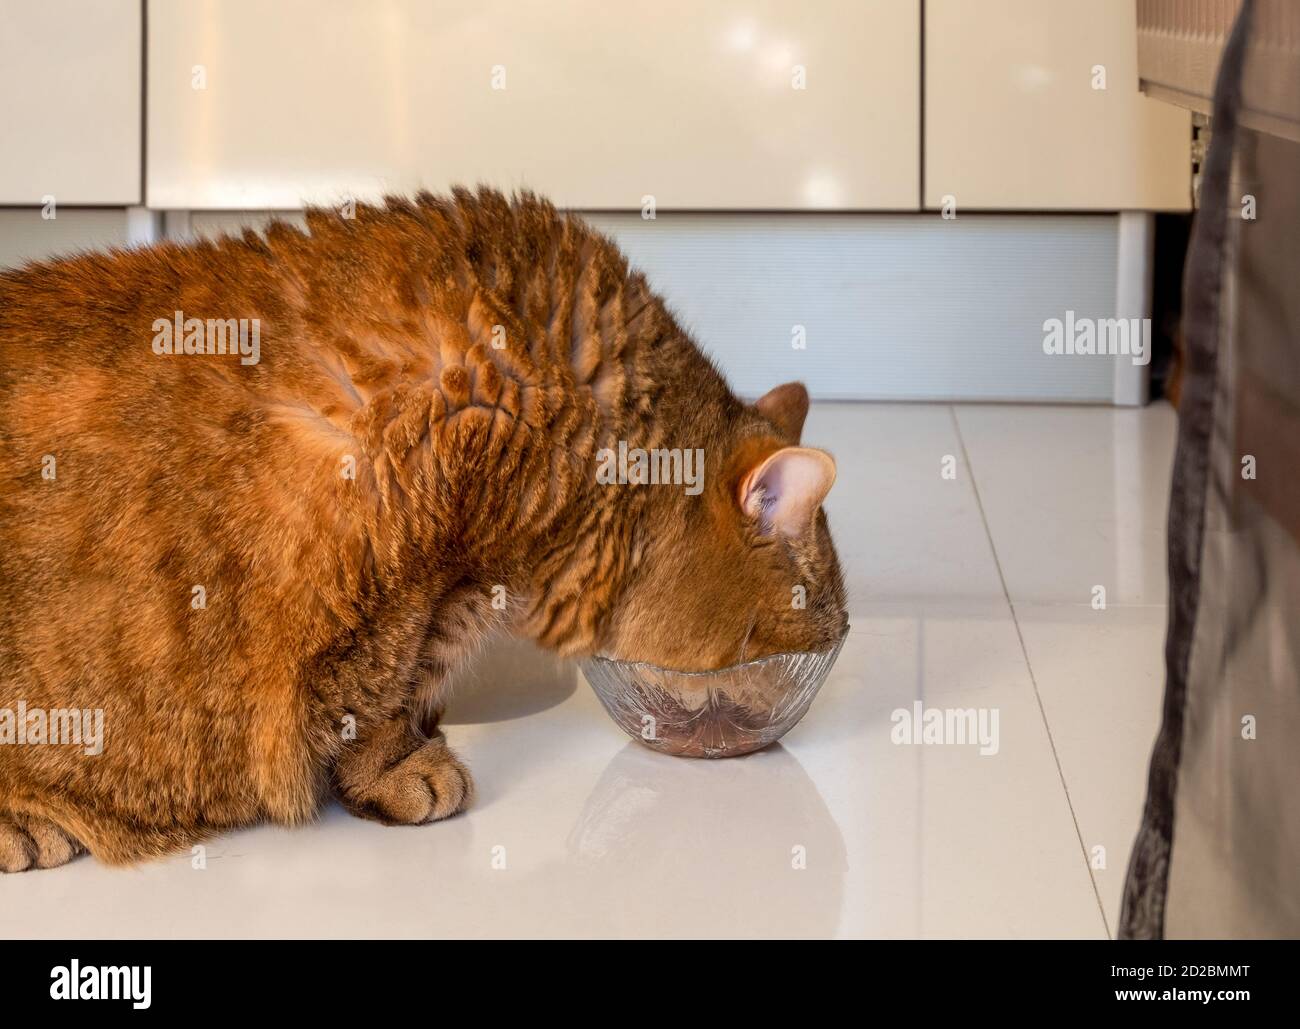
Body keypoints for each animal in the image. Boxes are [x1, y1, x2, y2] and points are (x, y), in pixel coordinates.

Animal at [0, 187, 842, 867]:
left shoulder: (462, 577)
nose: (760, 726)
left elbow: (417, 672)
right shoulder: (404, 550)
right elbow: (374, 688)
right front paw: (396, 767)